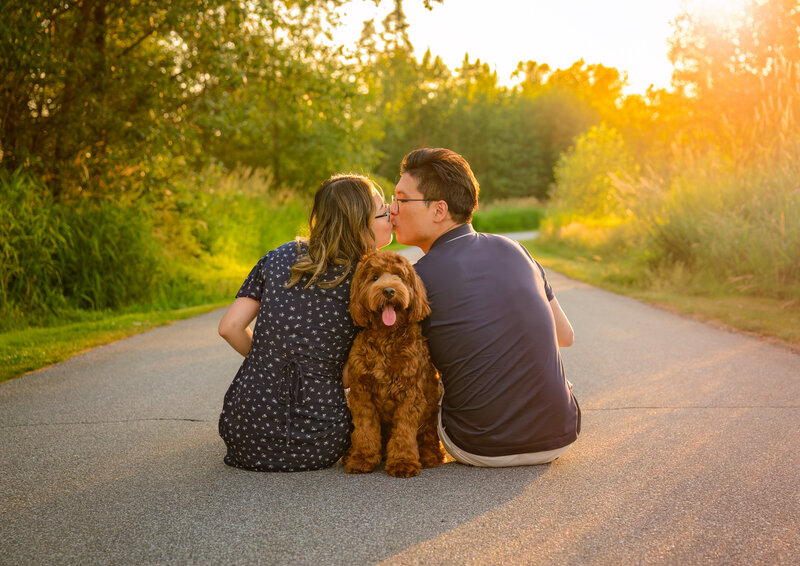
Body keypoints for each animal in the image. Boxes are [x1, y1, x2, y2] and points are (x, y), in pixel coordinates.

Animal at [342, 251, 446, 478]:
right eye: (374, 278)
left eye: (399, 276)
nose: (389, 290)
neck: (386, 336)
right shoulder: (362, 393)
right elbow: (365, 429)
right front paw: (362, 459)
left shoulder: (410, 394)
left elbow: (404, 433)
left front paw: (403, 463)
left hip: (430, 415)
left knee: (428, 440)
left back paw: (429, 457)